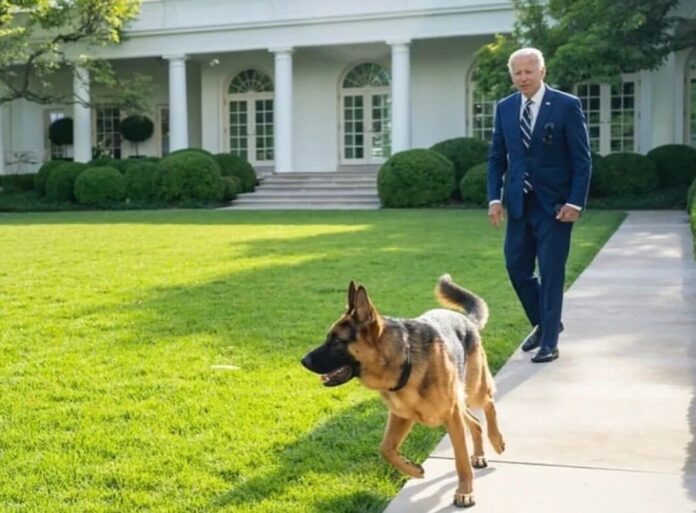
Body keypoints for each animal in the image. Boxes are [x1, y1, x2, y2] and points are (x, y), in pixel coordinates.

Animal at [302, 274, 502, 506]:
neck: (403, 360)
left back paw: (497, 441)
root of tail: (466, 320)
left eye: (337, 341)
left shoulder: (451, 417)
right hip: (459, 405)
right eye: (329, 338)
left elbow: (461, 460)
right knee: (476, 423)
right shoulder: (402, 416)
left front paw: (465, 492)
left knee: (489, 403)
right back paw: (478, 455)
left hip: (474, 389)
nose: (303, 361)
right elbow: (386, 449)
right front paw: (413, 470)